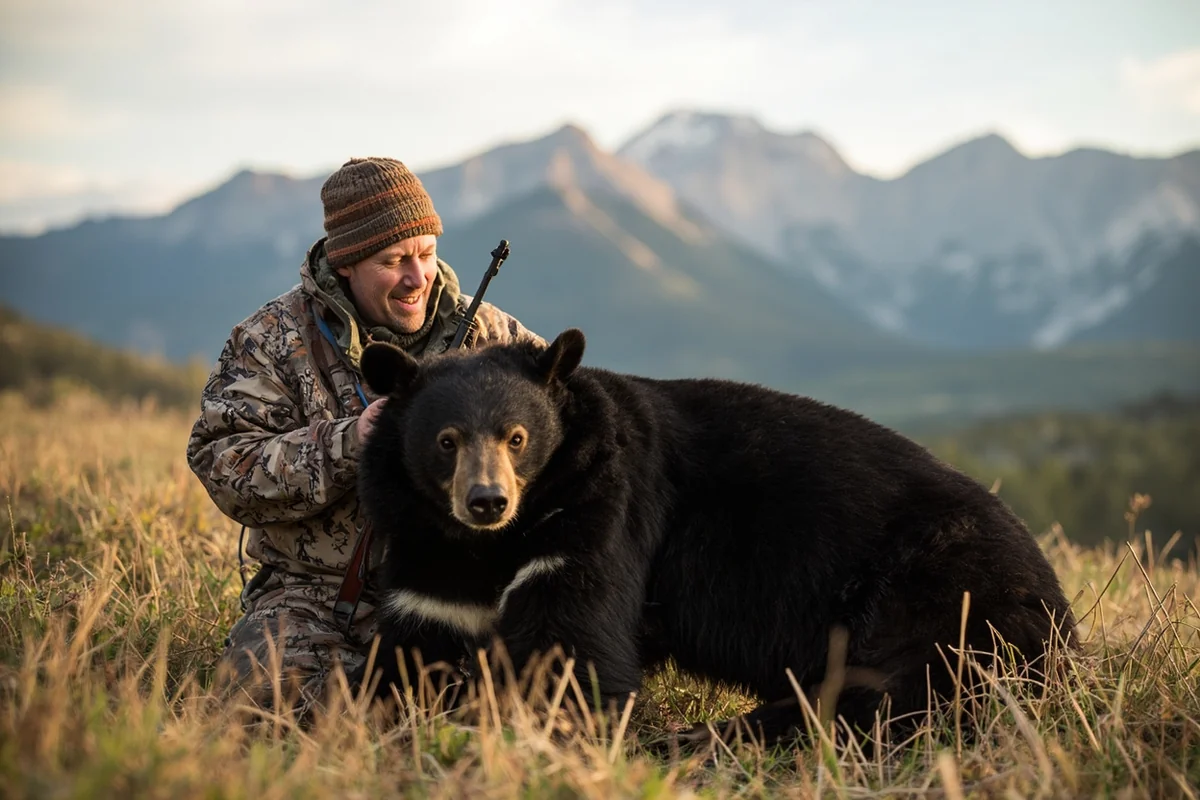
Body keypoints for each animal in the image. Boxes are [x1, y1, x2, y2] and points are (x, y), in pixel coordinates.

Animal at [348, 327, 1077, 744]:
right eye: (446, 441)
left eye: (518, 437)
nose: (487, 501)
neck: (494, 545)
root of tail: (1061, 612)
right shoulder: (426, 554)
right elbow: (410, 650)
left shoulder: (597, 515)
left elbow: (575, 651)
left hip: (940, 587)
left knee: (895, 691)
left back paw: (708, 738)